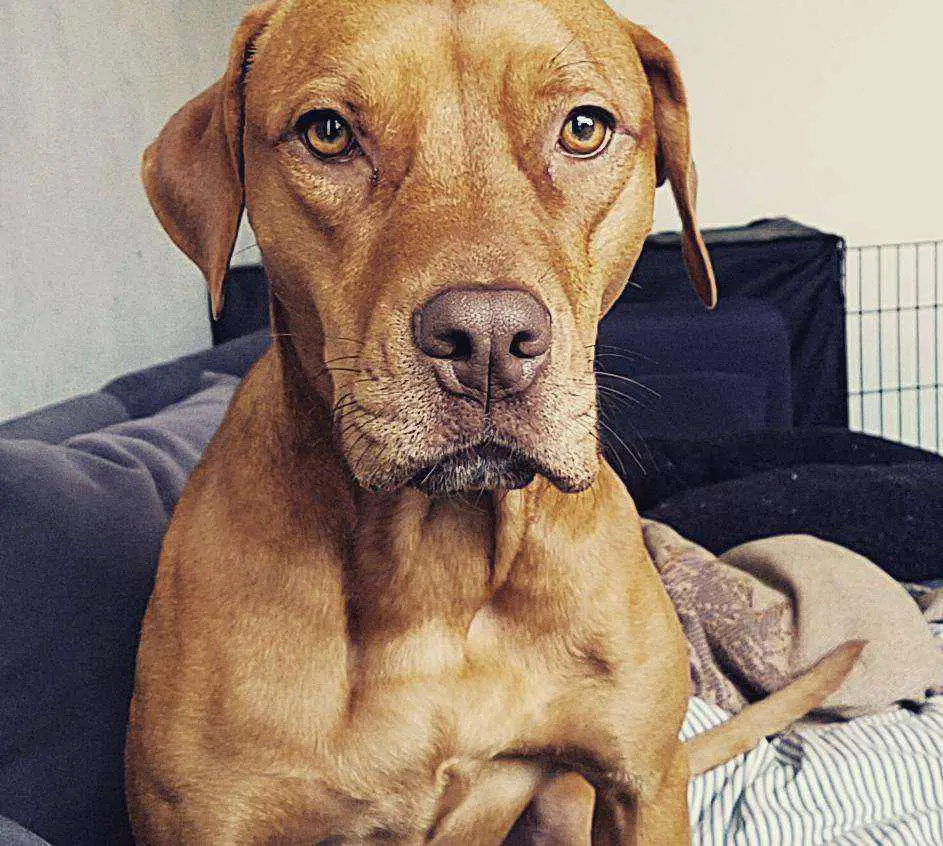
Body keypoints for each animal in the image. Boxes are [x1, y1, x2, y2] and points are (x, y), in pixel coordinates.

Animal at [125, 3, 864, 844]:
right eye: (328, 132)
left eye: (583, 127)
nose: (484, 340)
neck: (436, 564)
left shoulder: (642, 783)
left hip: (567, 803)